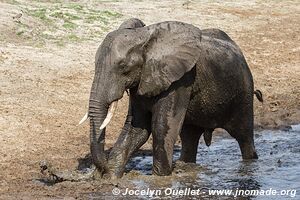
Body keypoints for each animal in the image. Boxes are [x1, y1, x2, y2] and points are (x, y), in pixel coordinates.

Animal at [81, 18, 264, 178]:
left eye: (123, 66)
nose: (99, 170)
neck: (144, 37)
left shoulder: (180, 80)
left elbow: (161, 127)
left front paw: (160, 178)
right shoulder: (142, 80)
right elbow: (136, 128)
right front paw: (111, 177)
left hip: (244, 92)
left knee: (244, 136)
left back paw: (250, 164)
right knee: (189, 137)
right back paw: (186, 165)